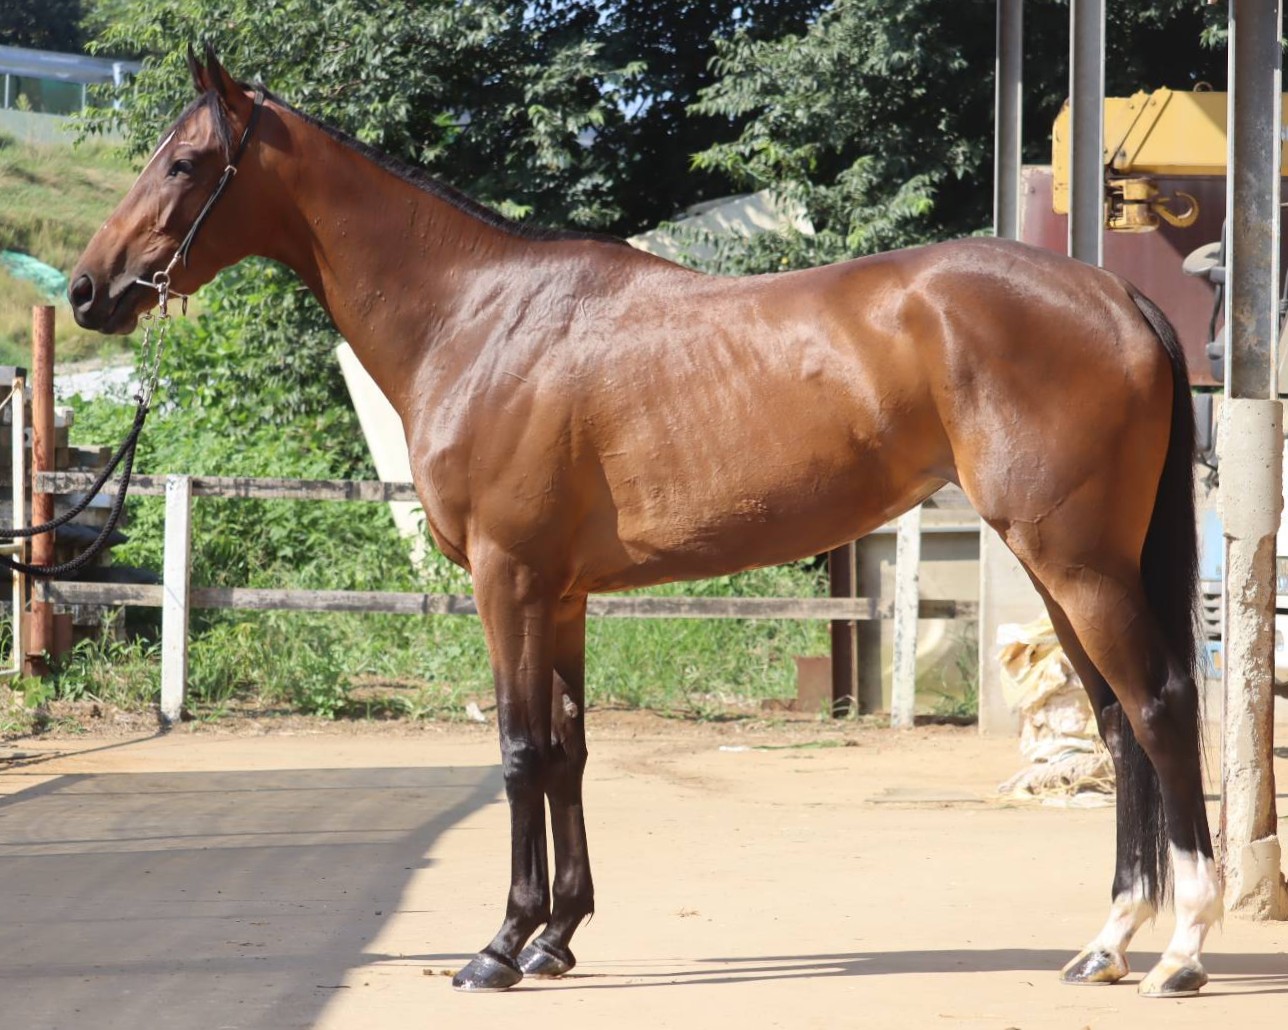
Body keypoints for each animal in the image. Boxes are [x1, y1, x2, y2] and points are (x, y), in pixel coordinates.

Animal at [69, 45, 1219, 997]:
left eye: (184, 164)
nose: (88, 290)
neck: (477, 318)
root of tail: (1116, 292)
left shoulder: (507, 578)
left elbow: (519, 749)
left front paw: (499, 946)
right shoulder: (564, 594)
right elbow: (569, 750)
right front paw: (557, 936)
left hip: (1075, 561)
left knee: (1159, 706)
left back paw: (1180, 950)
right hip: (1062, 565)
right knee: (1116, 724)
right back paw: (1107, 942)